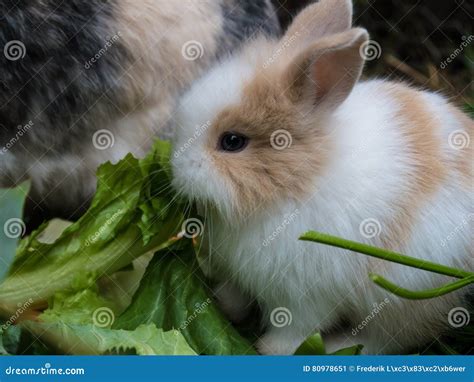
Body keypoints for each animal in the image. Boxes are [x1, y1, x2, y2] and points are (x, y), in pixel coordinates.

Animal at [171, 0, 474, 354]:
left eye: (232, 142)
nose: (175, 169)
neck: (297, 181)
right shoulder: (238, 274)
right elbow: (235, 293)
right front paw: (223, 305)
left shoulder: (307, 297)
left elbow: (294, 328)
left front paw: (269, 349)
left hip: (402, 299)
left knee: (385, 340)